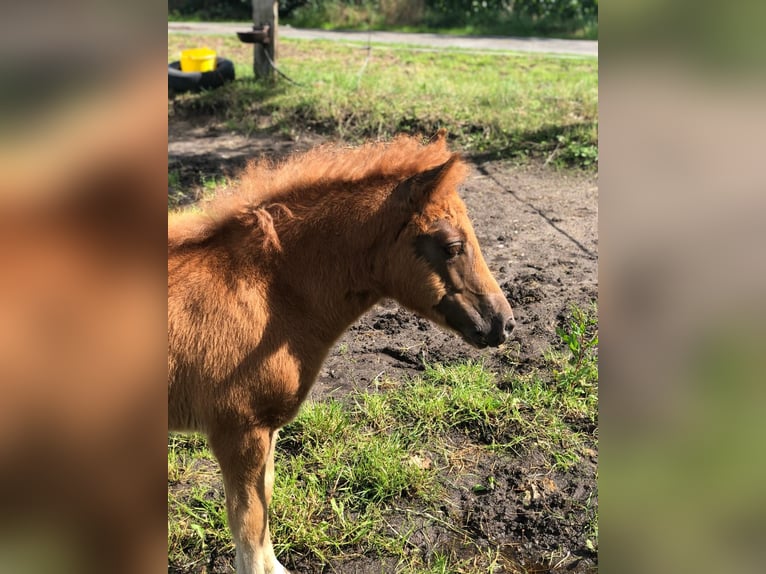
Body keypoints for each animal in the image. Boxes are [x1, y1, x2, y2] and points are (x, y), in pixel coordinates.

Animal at [168, 133, 516, 572]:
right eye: (452, 246)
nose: (504, 322)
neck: (264, 294)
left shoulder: (265, 432)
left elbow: (264, 510)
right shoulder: (239, 431)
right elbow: (249, 526)